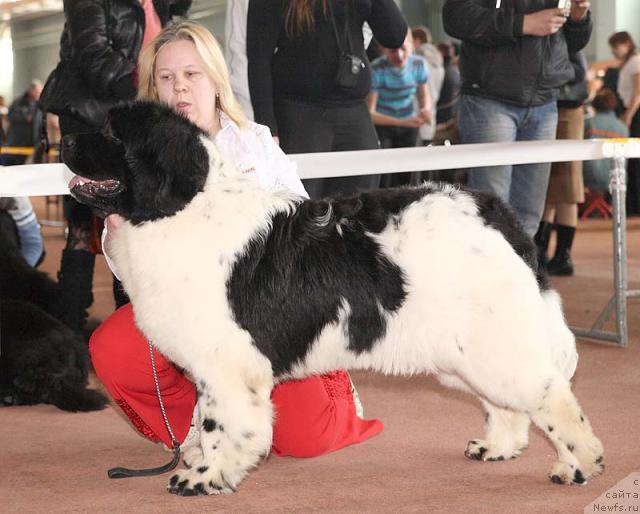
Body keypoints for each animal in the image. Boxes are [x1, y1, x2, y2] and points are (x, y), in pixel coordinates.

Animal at [63, 101, 604, 496]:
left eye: (114, 133)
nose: (65, 138)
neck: (180, 208)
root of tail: (492, 211)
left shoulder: (228, 362)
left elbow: (221, 422)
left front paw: (204, 476)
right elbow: (203, 419)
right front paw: (198, 460)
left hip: (494, 342)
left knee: (551, 396)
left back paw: (579, 464)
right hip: (470, 349)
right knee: (508, 401)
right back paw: (498, 446)